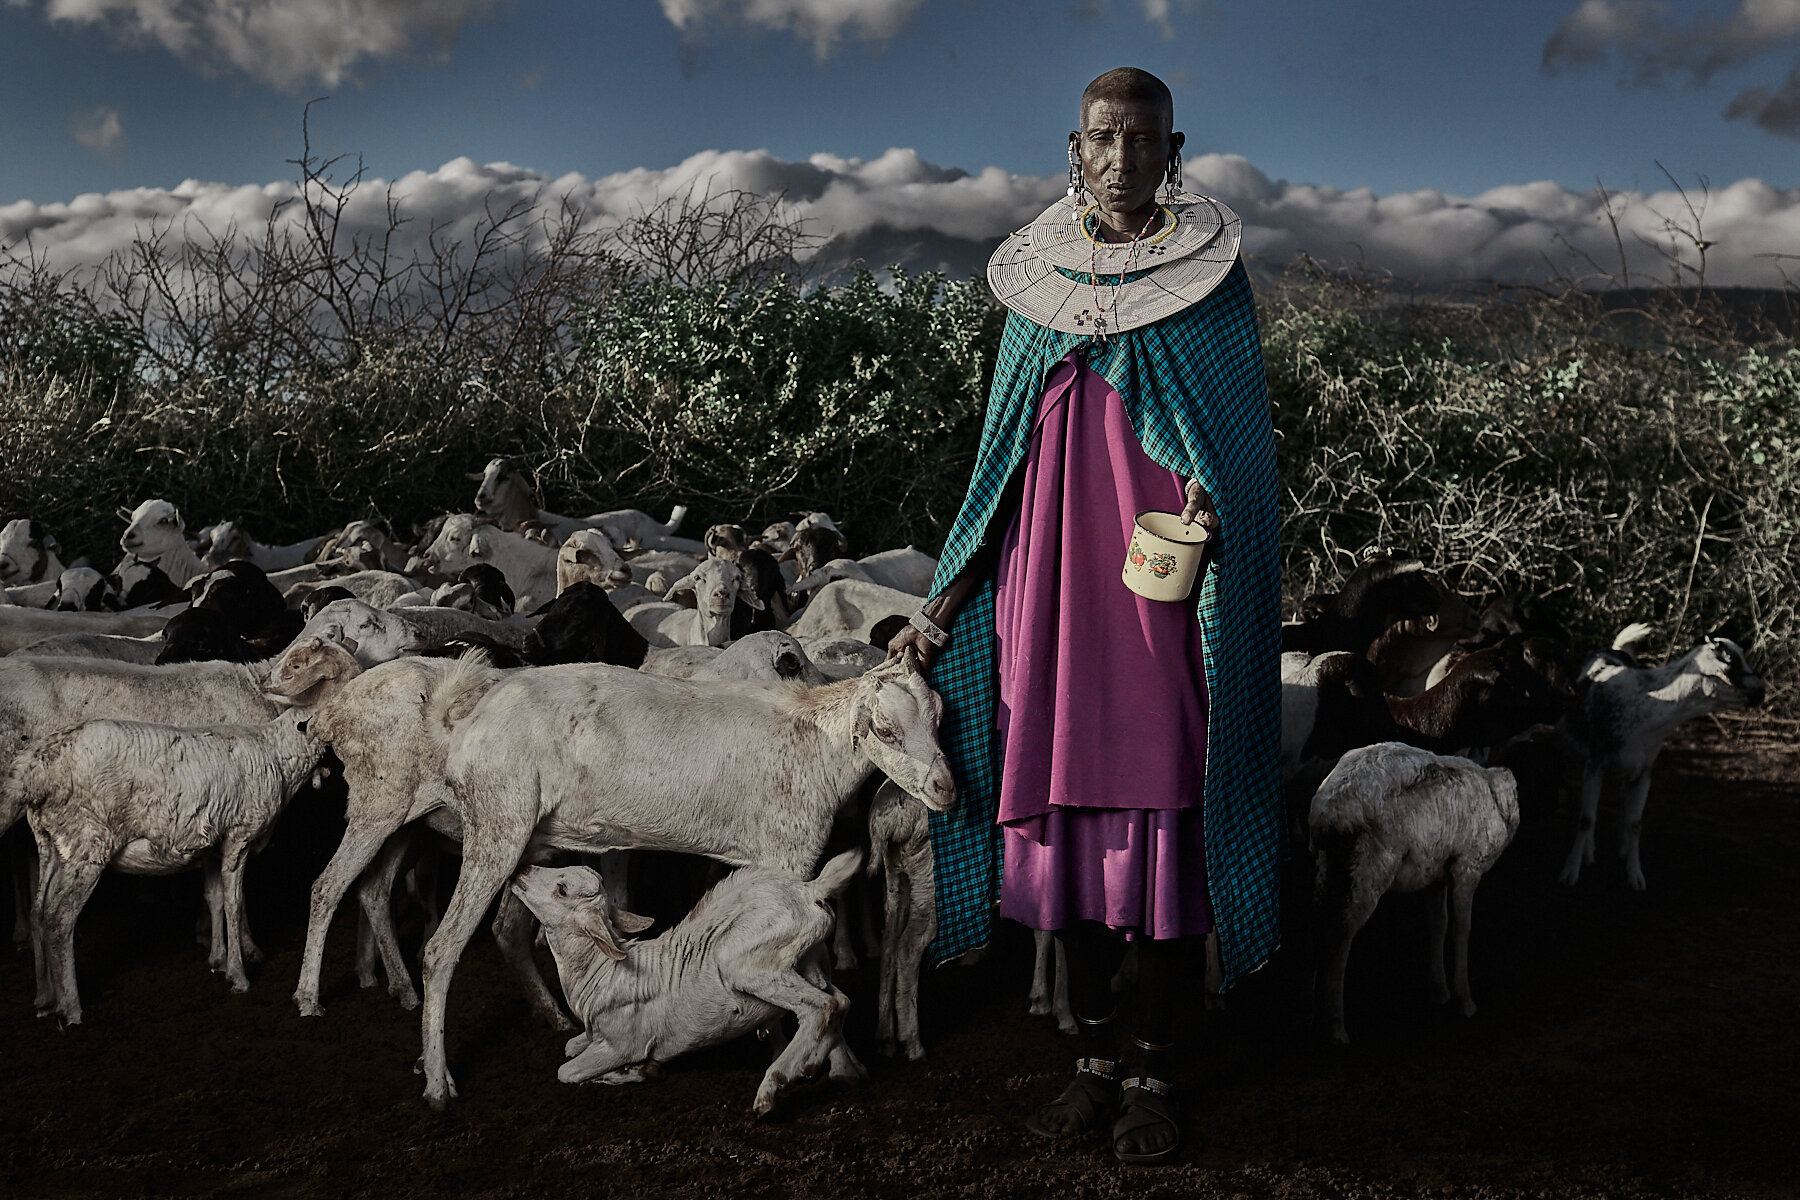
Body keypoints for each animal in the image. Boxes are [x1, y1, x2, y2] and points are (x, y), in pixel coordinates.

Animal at [21, 708, 333, 1029]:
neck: (276, 752)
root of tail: (38, 770)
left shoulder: (211, 845)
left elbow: (214, 898)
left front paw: (218, 960)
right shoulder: (239, 836)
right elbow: (234, 903)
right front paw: (238, 976)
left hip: (50, 845)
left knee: (39, 911)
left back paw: (46, 998)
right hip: (86, 845)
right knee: (59, 919)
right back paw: (70, 1008)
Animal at [511, 849, 867, 1115]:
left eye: (562, 890)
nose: (523, 869)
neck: (603, 972)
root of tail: (811, 891)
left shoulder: (622, 1044)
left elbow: (567, 1072)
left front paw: (640, 1071)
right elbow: (570, 1046)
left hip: (750, 965)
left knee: (821, 1007)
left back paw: (772, 1087)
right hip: (811, 962)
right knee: (841, 1002)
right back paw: (836, 1070)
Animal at [1310, 744, 1519, 1043]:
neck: (1497, 793)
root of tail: (1327, 814)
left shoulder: (1435, 876)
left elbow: (1438, 925)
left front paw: (1439, 990)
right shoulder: (1467, 868)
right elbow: (1461, 929)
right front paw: (1464, 1001)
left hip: (1329, 868)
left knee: (1319, 926)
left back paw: (1316, 1016)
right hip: (1370, 867)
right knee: (1340, 934)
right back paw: (1337, 1028)